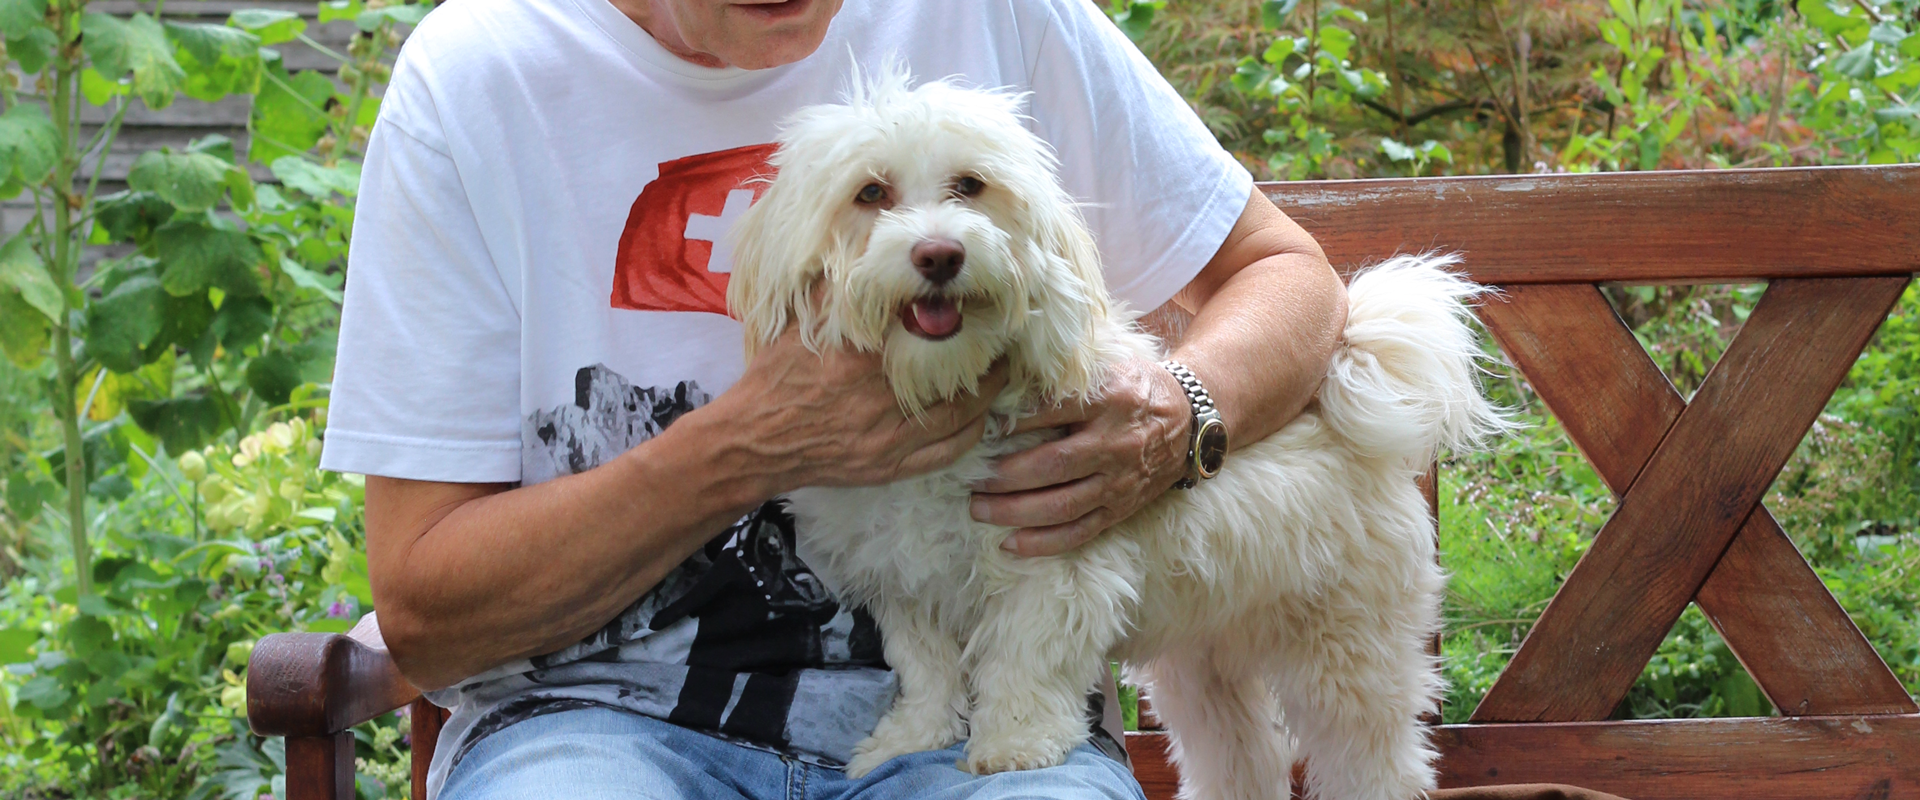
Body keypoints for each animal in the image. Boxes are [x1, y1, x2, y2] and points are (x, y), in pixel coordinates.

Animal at [725, 70, 1505, 798]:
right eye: (870, 193)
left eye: (971, 186)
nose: (940, 254)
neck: (943, 389)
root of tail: (1345, 415)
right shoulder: (909, 585)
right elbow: (926, 670)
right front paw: (909, 738)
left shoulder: (1052, 569)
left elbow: (1023, 661)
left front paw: (1015, 743)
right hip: (1204, 662)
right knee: (1243, 758)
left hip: (1346, 652)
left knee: (1374, 759)